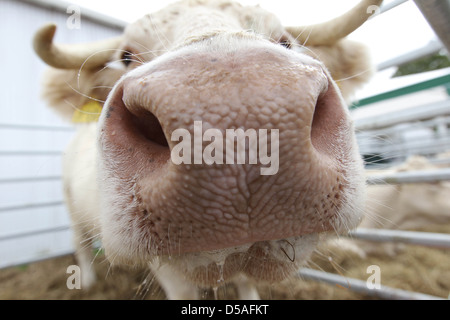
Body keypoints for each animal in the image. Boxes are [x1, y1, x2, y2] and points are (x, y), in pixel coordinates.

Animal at [33, 0, 382, 300]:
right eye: (126, 57)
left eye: (285, 41)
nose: (238, 126)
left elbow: (246, 284)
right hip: (71, 207)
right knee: (79, 244)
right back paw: (88, 284)